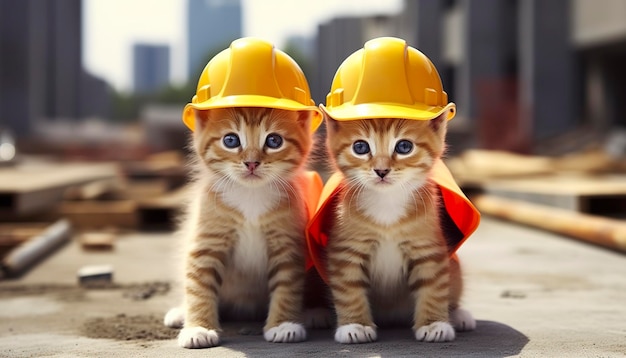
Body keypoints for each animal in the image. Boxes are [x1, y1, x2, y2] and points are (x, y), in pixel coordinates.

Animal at [163, 107, 312, 348]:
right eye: (230, 140)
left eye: (274, 140)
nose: (251, 163)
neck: (250, 194)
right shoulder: (206, 241)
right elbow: (198, 286)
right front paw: (198, 328)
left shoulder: (287, 244)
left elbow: (287, 285)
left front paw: (283, 325)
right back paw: (181, 312)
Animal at [322, 111, 472, 344]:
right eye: (360, 147)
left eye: (404, 147)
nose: (381, 170)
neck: (387, 202)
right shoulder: (345, 250)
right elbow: (348, 288)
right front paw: (355, 325)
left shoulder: (427, 246)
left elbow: (434, 286)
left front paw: (433, 324)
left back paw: (458, 315)